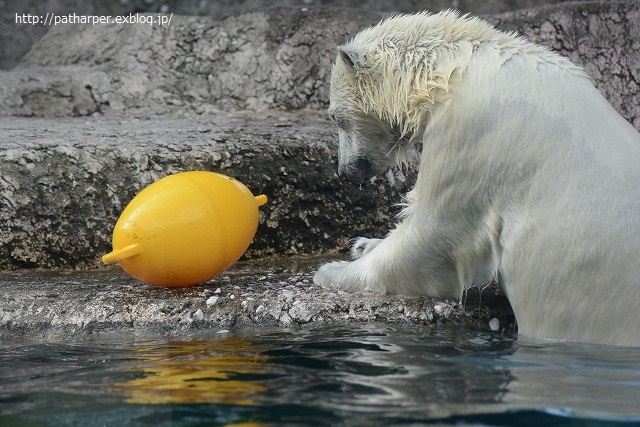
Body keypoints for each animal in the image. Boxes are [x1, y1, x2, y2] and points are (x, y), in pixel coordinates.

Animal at [312, 10, 640, 348]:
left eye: (335, 117)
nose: (344, 170)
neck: (455, 68)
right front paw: (363, 243)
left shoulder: (472, 135)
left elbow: (434, 236)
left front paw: (332, 271)